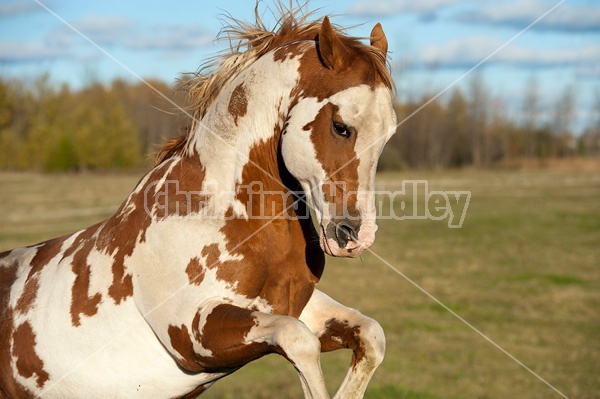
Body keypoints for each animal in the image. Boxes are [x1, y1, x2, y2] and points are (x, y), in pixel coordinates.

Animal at [0, 3, 398, 399]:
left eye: (389, 134)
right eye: (341, 127)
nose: (354, 236)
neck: (212, 211)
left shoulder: (297, 305)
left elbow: (371, 334)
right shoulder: (193, 335)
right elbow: (299, 341)